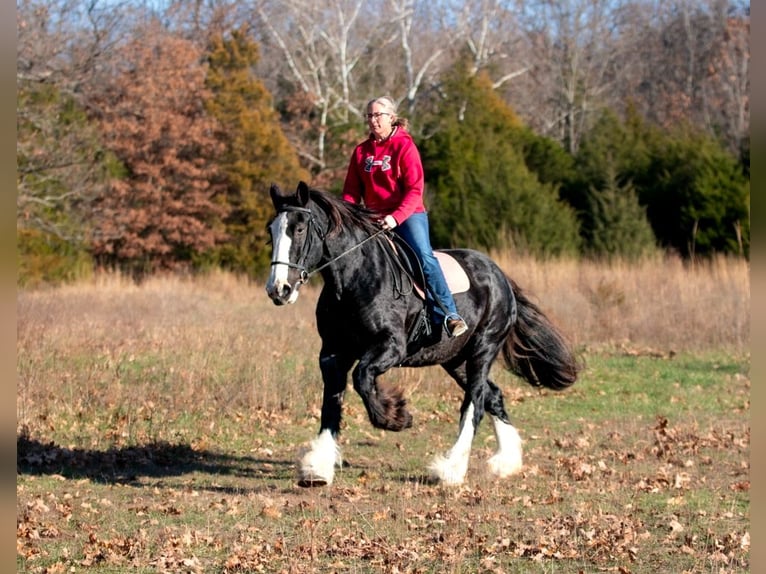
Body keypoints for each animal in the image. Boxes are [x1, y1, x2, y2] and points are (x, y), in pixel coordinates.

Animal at [268, 182, 580, 488]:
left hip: (483, 349)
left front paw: (396, 416)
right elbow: (331, 403)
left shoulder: (391, 346)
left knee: (476, 401)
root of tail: (500, 276)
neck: (354, 278)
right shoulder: (332, 352)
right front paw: (317, 468)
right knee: (494, 396)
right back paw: (506, 462)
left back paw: (451, 469)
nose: (278, 289)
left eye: (299, 229)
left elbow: (362, 377)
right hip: (455, 359)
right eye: (271, 230)